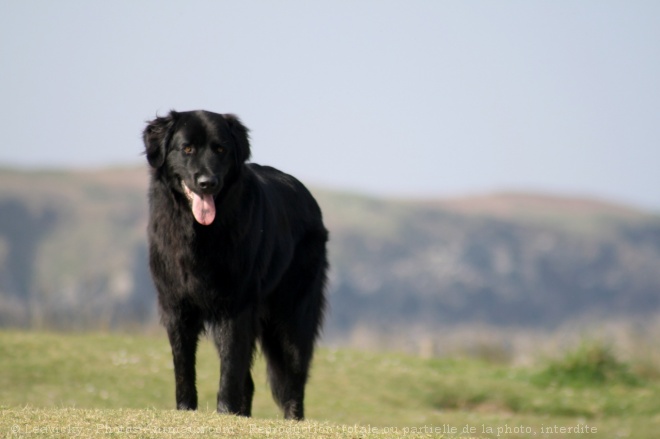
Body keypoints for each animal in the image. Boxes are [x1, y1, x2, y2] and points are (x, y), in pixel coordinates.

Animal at [145, 110, 330, 420]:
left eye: (221, 149)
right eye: (187, 149)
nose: (207, 182)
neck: (200, 234)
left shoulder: (236, 307)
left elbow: (230, 370)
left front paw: (224, 413)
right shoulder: (176, 306)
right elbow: (183, 366)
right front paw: (186, 411)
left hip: (293, 314)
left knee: (294, 376)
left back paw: (292, 419)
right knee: (252, 382)